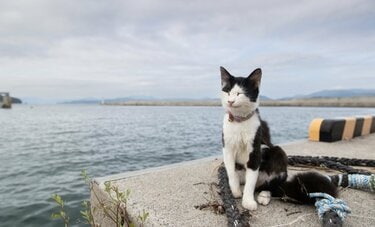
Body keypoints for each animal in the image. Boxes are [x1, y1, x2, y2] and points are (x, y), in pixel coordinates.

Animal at [220, 66, 338, 211]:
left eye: (239, 93)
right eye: (227, 91)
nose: (230, 101)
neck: (239, 122)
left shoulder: (256, 148)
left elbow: (251, 179)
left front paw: (247, 201)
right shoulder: (227, 147)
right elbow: (231, 170)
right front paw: (235, 190)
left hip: (278, 154)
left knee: (268, 186)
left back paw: (264, 195)